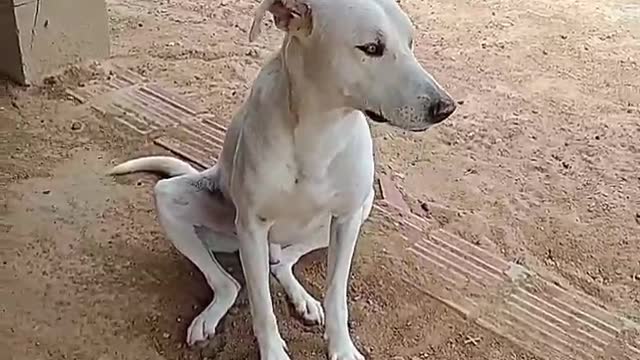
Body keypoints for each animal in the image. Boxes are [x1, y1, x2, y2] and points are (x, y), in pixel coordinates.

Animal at [109, 0, 456, 358]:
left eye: (411, 42)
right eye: (372, 48)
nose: (445, 108)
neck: (321, 130)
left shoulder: (346, 219)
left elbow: (336, 296)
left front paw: (342, 347)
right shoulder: (251, 228)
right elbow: (262, 307)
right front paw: (273, 350)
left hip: (360, 209)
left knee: (283, 263)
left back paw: (305, 301)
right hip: (178, 203)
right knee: (230, 283)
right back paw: (209, 318)